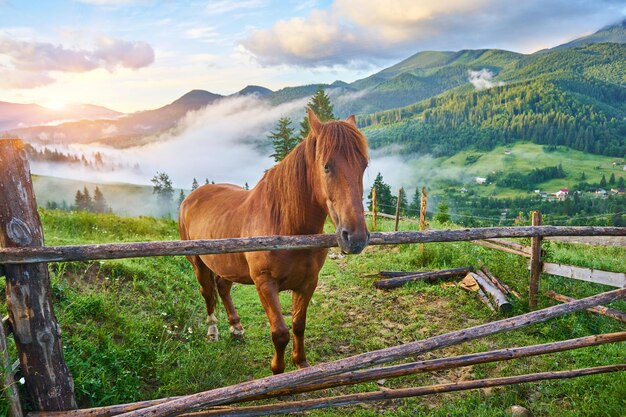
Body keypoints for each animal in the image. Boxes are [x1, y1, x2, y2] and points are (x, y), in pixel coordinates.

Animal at [178, 109, 368, 372]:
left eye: (364, 165)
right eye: (326, 166)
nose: (356, 237)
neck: (287, 229)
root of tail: (191, 197)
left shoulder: (308, 283)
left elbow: (298, 325)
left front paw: (301, 363)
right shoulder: (265, 284)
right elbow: (280, 333)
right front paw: (277, 370)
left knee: (223, 287)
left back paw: (236, 327)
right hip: (198, 262)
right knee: (207, 292)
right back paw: (213, 331)